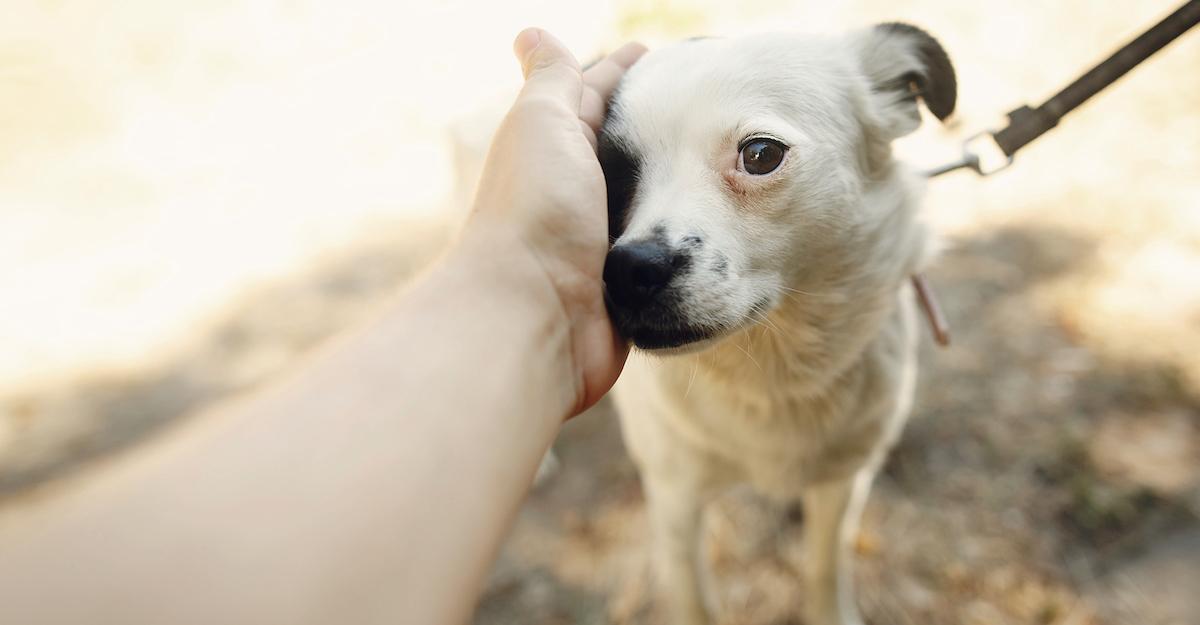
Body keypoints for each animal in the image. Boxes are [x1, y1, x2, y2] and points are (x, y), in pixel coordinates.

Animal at [600, 24, 955, 623]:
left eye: (760, 154)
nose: (629, 271)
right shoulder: (674, 500)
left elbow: (825, 565)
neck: (772, 372)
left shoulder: (842, 481)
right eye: (607, 173)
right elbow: (694, 599)